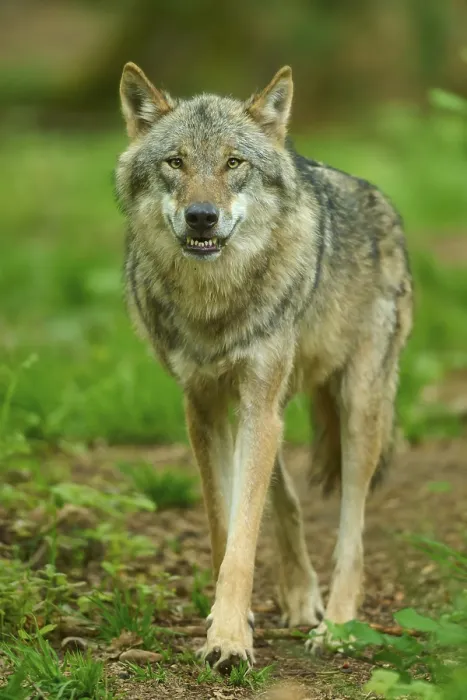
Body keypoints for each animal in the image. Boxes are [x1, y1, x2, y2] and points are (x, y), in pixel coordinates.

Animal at [115, 62, 413, 673]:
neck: (215, 303)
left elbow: (243, 540)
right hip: (271, 407)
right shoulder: (204, 408)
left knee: (352, 530)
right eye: (175, 162)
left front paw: (229, 638)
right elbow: (224, 526)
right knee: (288, 499)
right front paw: (232, 624)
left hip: (356, 408)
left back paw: (337, 626)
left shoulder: (257, 402)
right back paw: (301, 598)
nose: (201, 216)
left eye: (234, 163)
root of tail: (381, 199)